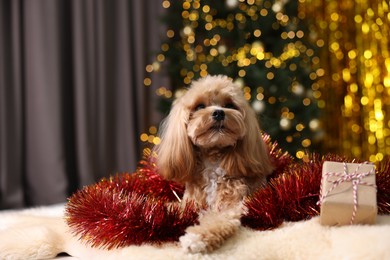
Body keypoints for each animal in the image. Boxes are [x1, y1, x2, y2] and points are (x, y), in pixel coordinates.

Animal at [154, 75, 272, 254]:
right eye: (200, 106)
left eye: (229, 105)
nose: (219, 112)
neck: (213, 162)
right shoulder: (190, 203)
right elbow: (176, 208)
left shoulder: (231, 207)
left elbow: (217, 220)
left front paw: (196, 238)